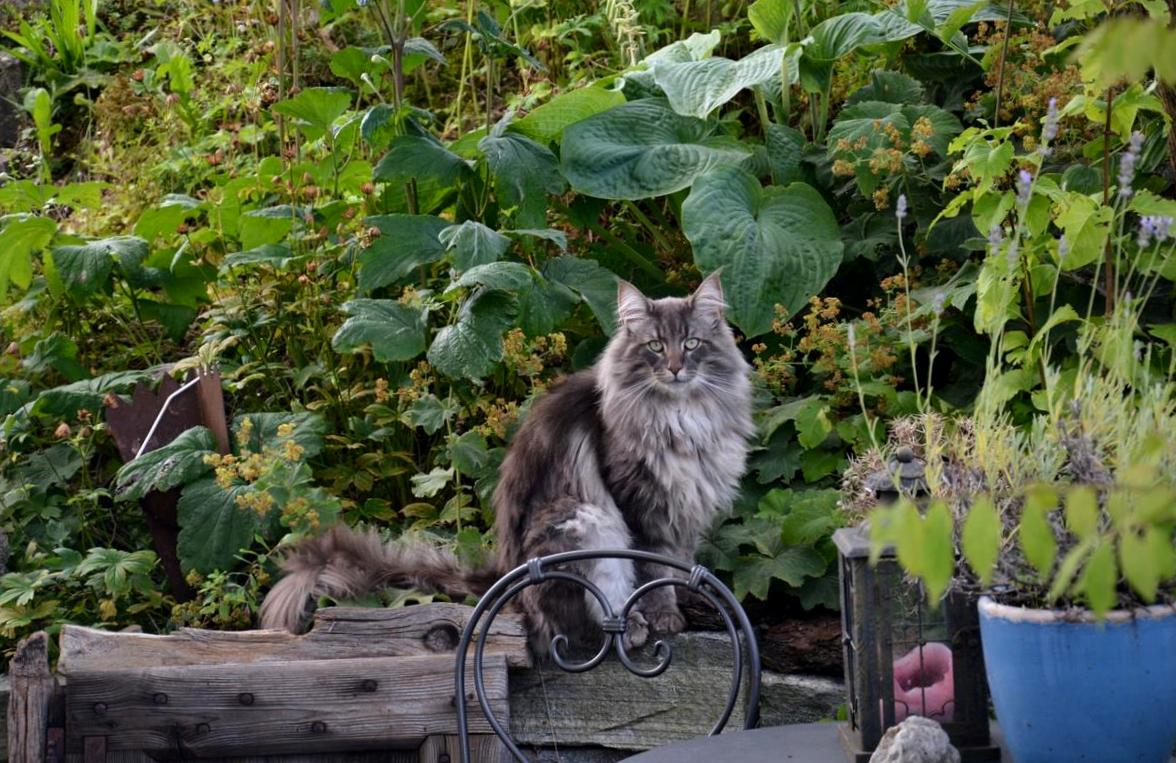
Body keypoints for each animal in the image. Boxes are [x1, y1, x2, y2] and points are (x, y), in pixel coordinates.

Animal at [259, 273, 752, 648]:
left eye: (691, 343)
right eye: (654, 347)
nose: (674, 368)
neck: (682, 418)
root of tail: (504, 579)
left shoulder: (684, 507)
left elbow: (677, 565)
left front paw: (683, 607)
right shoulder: (639, 504)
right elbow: (654, 569)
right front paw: (665, 617)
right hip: (586, 520)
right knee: (581, 626)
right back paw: (629, 629)